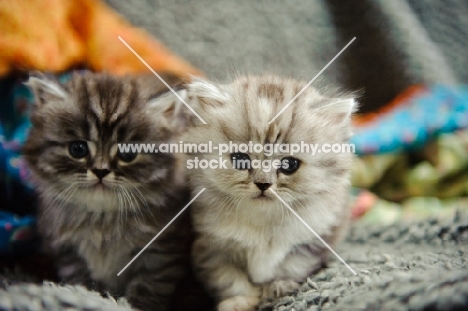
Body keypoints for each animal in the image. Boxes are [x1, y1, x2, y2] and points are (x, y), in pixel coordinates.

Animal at [23, 71, 192, 311]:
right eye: (77, 149)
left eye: (128, 154)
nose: (101, 171)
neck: (102, 220)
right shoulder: (67, 252)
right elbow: (80, 282)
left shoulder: (161, 252)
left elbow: (148, 287)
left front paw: (134, 305)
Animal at [179, 75, 354, 311]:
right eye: (240, 160)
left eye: (289, 165)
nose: (263, 184)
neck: (263, 222)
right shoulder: (210, 248)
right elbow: (229, 279)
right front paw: (240, 302)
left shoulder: (312, 242)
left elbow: (290, 267)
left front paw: (277, 289)